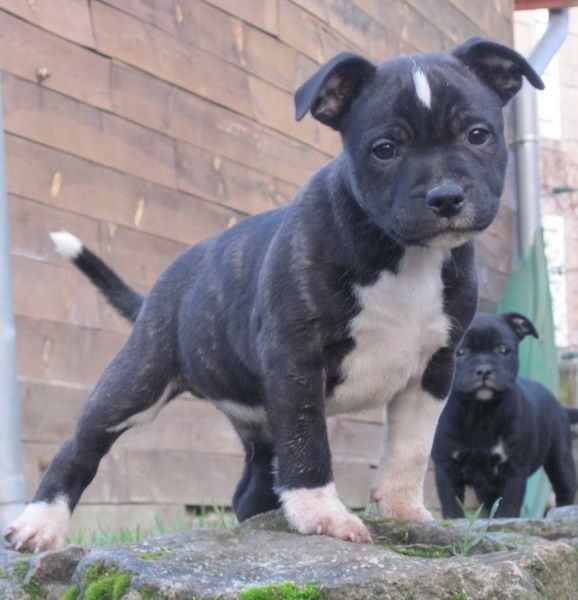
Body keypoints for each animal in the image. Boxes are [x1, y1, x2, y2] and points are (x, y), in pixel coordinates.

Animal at [4, 38, 542, 552]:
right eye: (385, 149)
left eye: (478, 135)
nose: (446, 196)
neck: (403, 255)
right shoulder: (296, 355)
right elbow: (308, 441)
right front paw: (323, 516)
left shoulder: (433, 367)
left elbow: (409, 447)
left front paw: (403, 511)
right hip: (135, 379)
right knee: (80, 448)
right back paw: (38, 524)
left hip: (259, 426)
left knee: (250, 492)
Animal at [432, 312, 578, 518]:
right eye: (460, 352)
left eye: (503, 350)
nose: (484, 369)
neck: (481, 412)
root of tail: (559, 406)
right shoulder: (446, 466)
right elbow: (451, 505)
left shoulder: (514, 470)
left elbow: (509, 506)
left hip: (561, 459)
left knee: (565, 489)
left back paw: (563, 511)